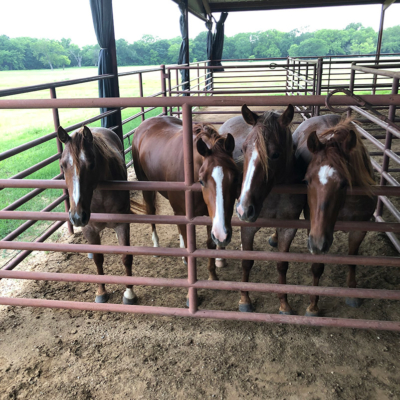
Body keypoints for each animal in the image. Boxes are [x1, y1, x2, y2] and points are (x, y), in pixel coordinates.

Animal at [57, 125, 143, 305]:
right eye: (63, 165)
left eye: (91, 164)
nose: (77, 217)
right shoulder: (89, 228)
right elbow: (98, 259)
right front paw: (101, 291)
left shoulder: (122, 224)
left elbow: (126, 257)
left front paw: (129, 293)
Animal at [132, 116, 239, 286]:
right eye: (202, 180)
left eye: (236, 178)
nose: (222, 235)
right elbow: (190, 246)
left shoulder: (211, 216)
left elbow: (209, 243)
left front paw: (212, 275)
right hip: (146, 187)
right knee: (151, 212)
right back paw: (156, 245)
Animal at [220, 104, 307, 314]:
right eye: (244, 149)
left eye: (275, 154)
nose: (244, 209)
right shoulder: (248, 226)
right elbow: (247, 262)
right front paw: (244, 299)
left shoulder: (288, 227)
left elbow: (282, 264)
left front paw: (284, 303)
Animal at [293, 114, 377, 316]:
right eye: (306, 181)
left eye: (344, 183)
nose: (318, 243)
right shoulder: (313, 228)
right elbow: (317, 267)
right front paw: (313, 304)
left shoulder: (360, 229)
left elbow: (352, 259)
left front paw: (353, 293)